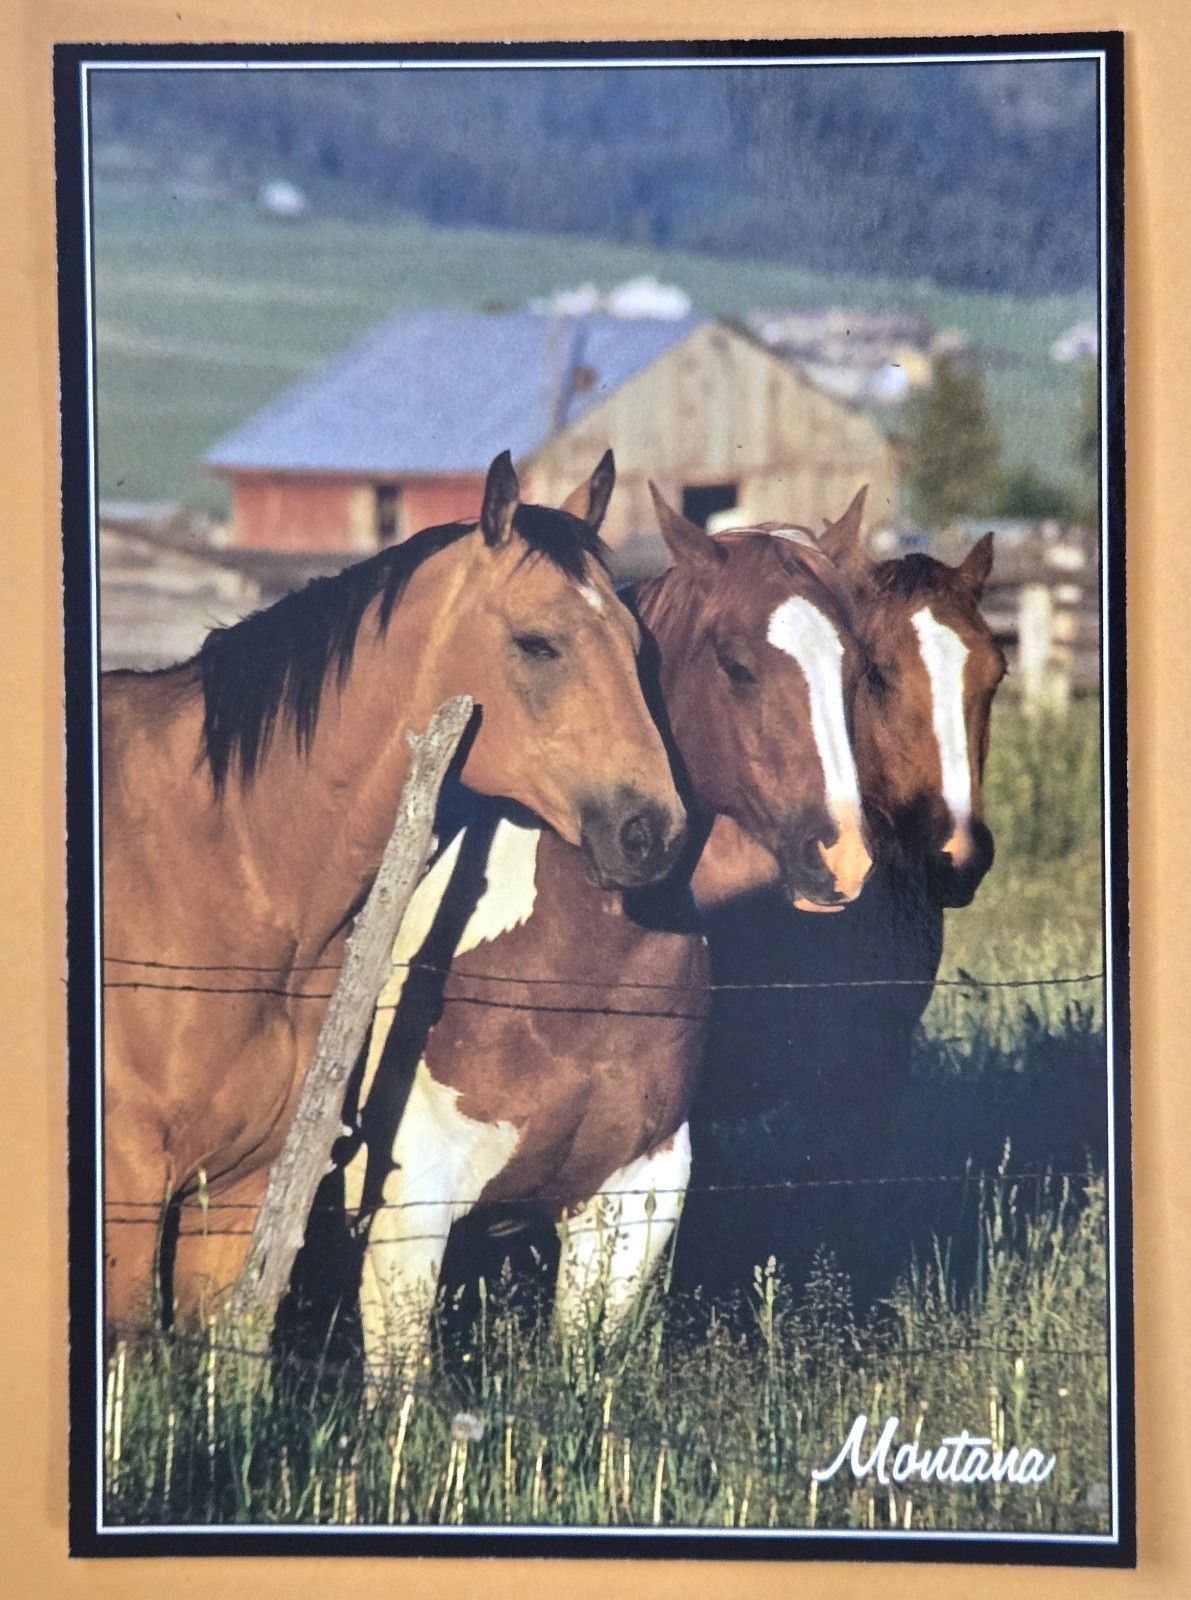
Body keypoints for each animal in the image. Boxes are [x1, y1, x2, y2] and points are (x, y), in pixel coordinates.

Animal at [101, 450, 689, 1329]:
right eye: (537, 643)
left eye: (635, 645)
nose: (654, 832)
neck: (225, 866)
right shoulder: (132, 1193)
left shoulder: (239, 1193)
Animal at [338, 487, 873, 1376]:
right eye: (736, 666)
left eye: (858, 670)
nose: (842, 856)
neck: (571, 970)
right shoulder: (407, 1209)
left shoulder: (631, 1198)